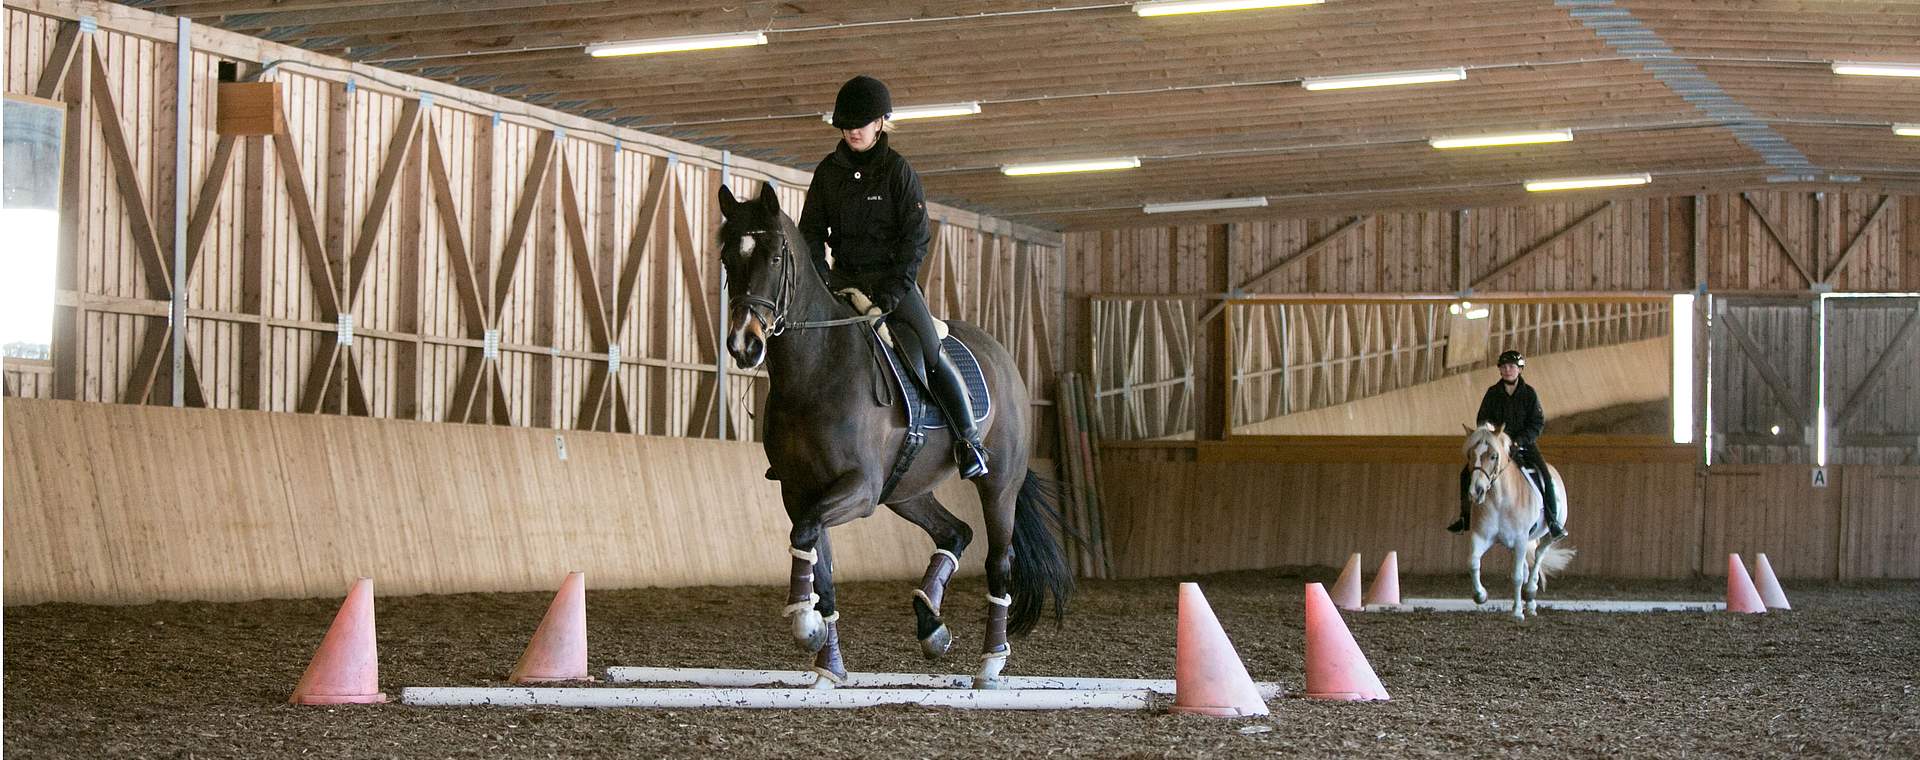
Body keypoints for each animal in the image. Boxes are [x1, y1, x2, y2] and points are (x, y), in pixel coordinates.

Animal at [721, 181, 1075, 687]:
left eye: (773, 257)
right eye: (728, 258)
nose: (744, 344)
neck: (816, 368)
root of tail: (1001, 355)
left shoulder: (860, 488)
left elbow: (806, 535)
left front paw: (805, 625)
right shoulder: (801, 491)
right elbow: (815, 557)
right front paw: (828, 665)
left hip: (998, 484)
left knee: (998, 560)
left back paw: (990, 662)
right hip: (906, 489)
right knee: (956, 532)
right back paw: (931, 625)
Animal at [1466, 422, 1574, 617]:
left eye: (1493, 456)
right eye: (1470, 455)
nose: (1476, 491)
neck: (1500, 500)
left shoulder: (1520, 539)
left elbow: (1516, 576)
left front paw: (1517, 612)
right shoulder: (1481, 537)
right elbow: (1473, 562)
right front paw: (1481, 595)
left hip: (1546, 536)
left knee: (1538, 556)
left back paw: (1530, 596)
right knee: (1525, 566)